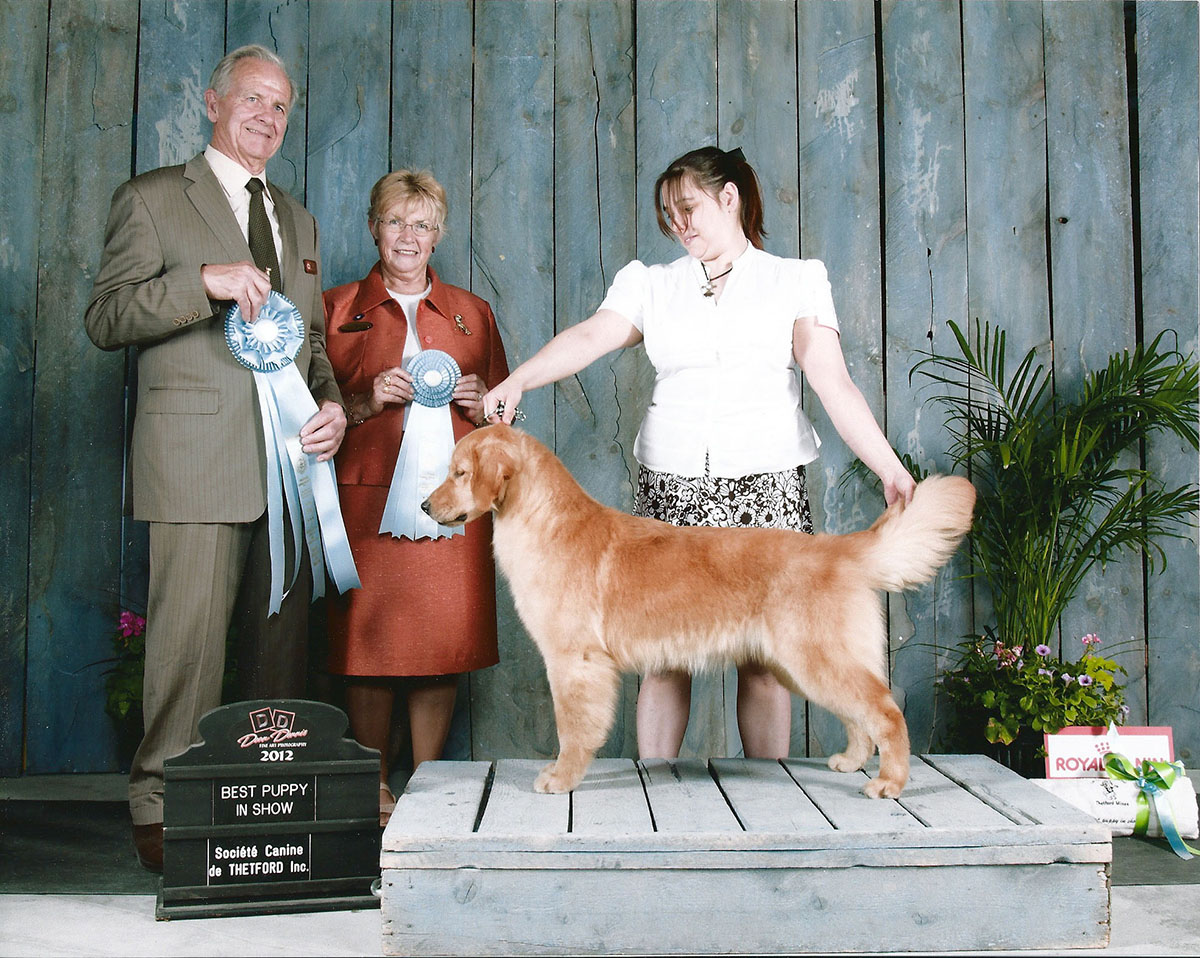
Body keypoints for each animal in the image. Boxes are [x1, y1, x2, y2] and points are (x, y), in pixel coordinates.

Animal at [422, 424, 974, 797]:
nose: (426, 507)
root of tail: (841, 549)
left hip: (813, 659)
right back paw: (851, 762)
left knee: (885, 711)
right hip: (807, 664)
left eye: (459, 473)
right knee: (861, 715)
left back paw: (890, 782)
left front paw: (561, 777)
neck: (544, 522)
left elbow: (573, 729)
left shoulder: (574, 662)